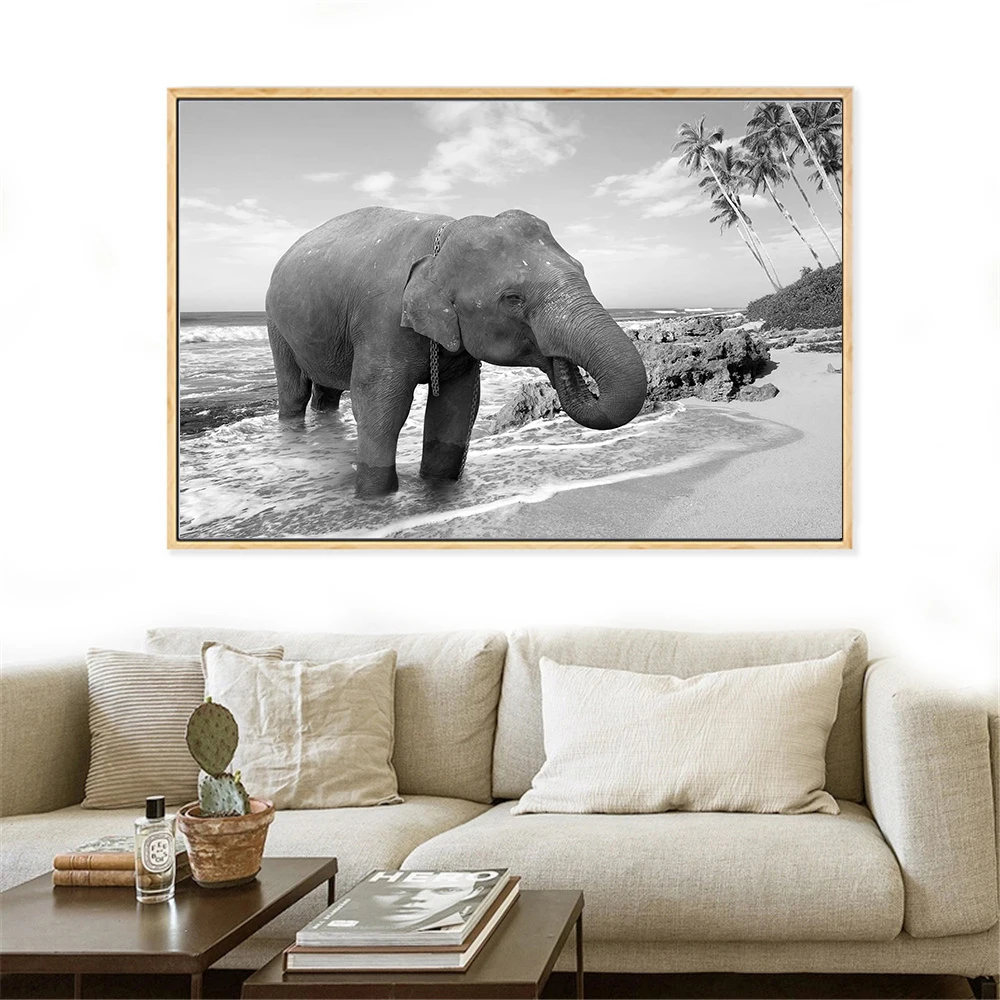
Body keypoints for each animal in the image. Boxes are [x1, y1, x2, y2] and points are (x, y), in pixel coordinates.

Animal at [264, 206, 648, 498]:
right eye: (513, 298)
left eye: (582, 270)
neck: (442, 241)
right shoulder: (382, 320)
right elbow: (379, 406)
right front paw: (375, 499)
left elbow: (457, 407)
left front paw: (436, 488)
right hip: (275, 321)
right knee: (294, 389)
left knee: (327, 392)